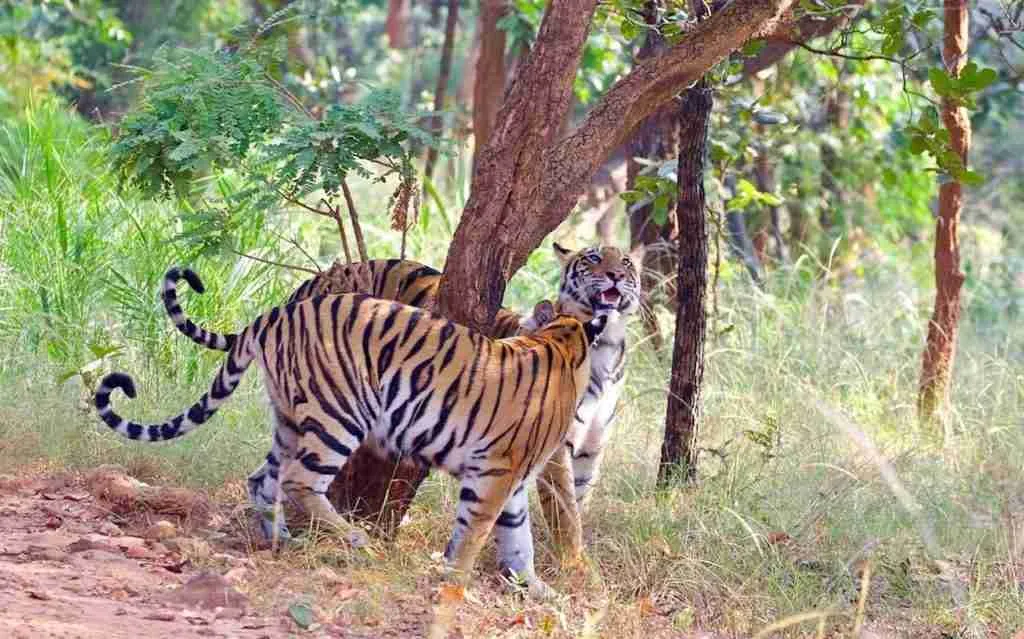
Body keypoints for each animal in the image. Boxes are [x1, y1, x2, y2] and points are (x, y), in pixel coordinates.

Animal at [95, 286, 608, 596]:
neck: (561, 341)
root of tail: (274, 314)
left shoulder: (511, 480)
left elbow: (518, 537)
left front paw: (535, 588)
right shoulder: (497, 472)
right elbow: (476, 531)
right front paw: (455, 580)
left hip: (288, 420)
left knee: (263, 479)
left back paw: (280, 542)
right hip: (339, 413)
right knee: (301, 482)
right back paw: (356, 541)